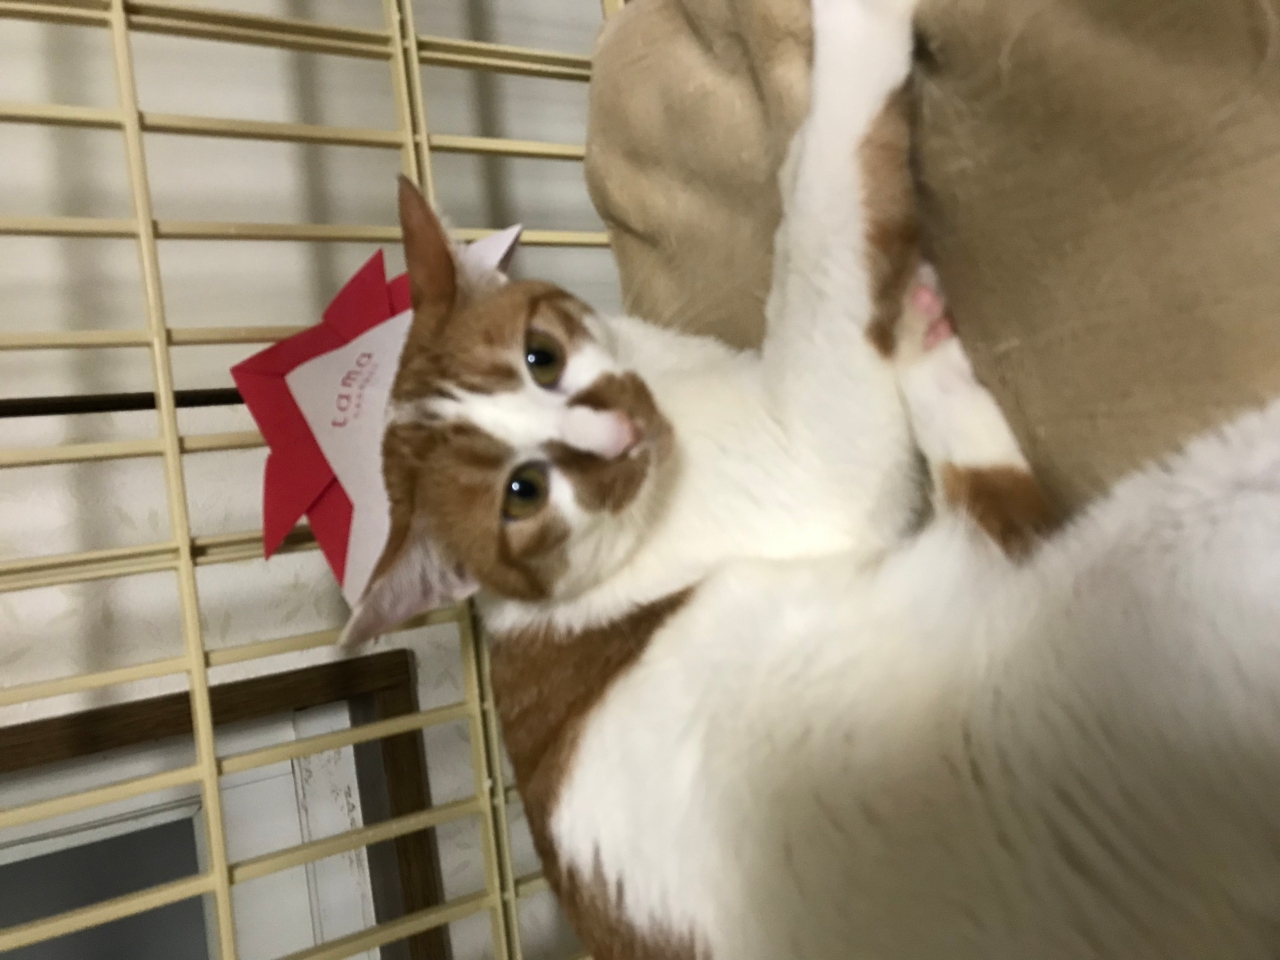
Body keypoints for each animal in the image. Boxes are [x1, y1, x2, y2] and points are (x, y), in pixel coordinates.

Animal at [340, 0, 1280, 957]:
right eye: (520, 496)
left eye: (541, 356)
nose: (615, 434)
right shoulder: (817, 446)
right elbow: (820, 224)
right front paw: (853, 36)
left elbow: (806, 205)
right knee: (1005, 502)